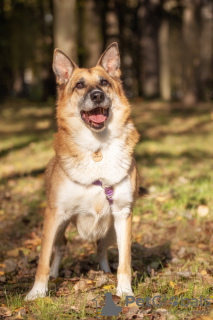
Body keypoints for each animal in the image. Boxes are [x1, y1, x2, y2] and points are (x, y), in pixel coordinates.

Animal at [25, 42, 140, 300]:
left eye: (104, 82)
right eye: (79, 85)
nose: (97, 95)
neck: (97, 148)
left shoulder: (123, 214)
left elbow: (125, 261)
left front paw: (125, 290)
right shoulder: (55, 214)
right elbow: (43, 259)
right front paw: (37, 292)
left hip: (111, 230)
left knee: (101, 248)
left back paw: (105, 272)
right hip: (59, 226)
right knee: (60, 247)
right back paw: (55, 275)